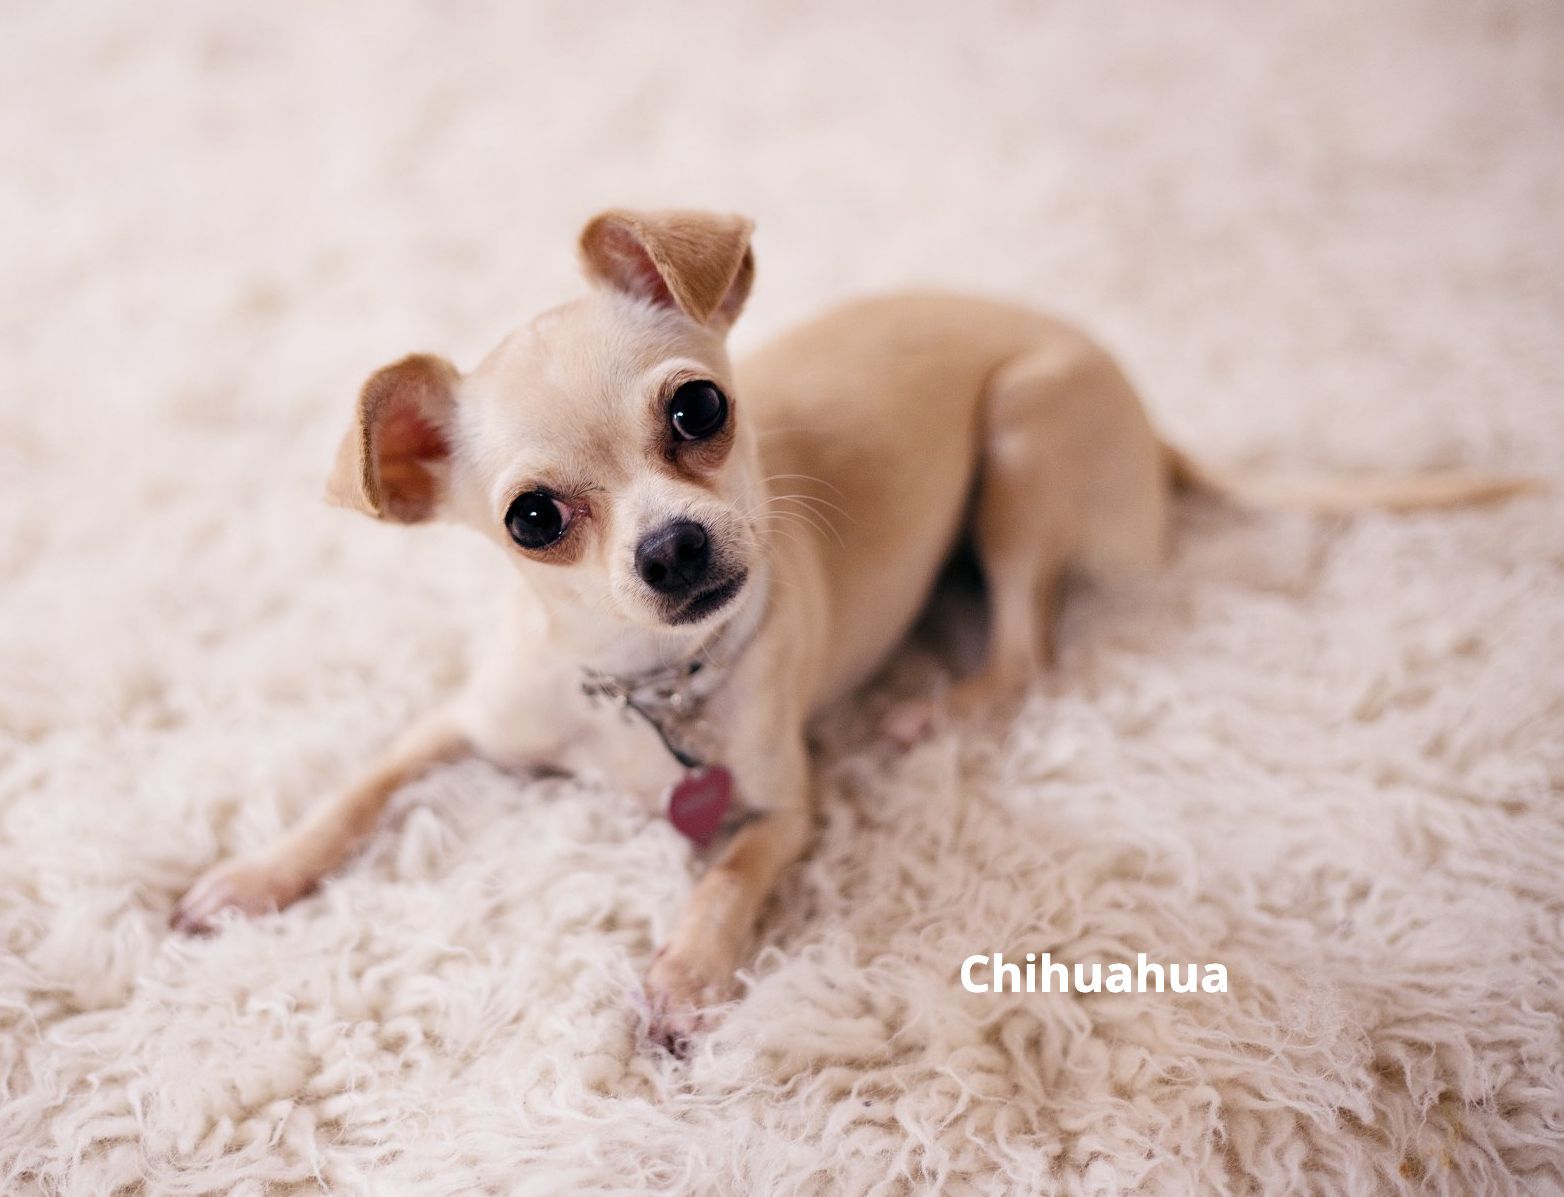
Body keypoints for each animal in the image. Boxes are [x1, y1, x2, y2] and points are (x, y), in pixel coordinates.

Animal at [171, 208, 1526, 1045]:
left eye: (700, 410)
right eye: (534, 519)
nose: (673, 548)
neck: (643, 689)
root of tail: (1148, 428)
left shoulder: (782, 812)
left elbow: (725, 881)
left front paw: (683, 977)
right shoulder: (460, 722)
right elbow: (352, 790)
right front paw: (253, 876)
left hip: (1022, 447)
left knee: (1023, 649)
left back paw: (935, 706)